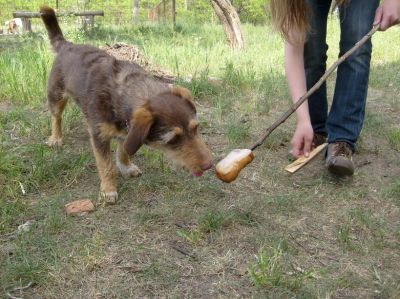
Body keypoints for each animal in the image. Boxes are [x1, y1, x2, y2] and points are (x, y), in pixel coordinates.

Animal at [41, 6, 214, 204]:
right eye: (172, 139)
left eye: (196, 128)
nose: (210, 164)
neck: (124, 92)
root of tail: (66, 44)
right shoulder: (99, 136)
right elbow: (106, 166)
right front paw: (108, 190)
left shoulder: (128, 131)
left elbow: (123, 151)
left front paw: (126, 167)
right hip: (56, 95)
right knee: (56, 117)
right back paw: (56, 138)